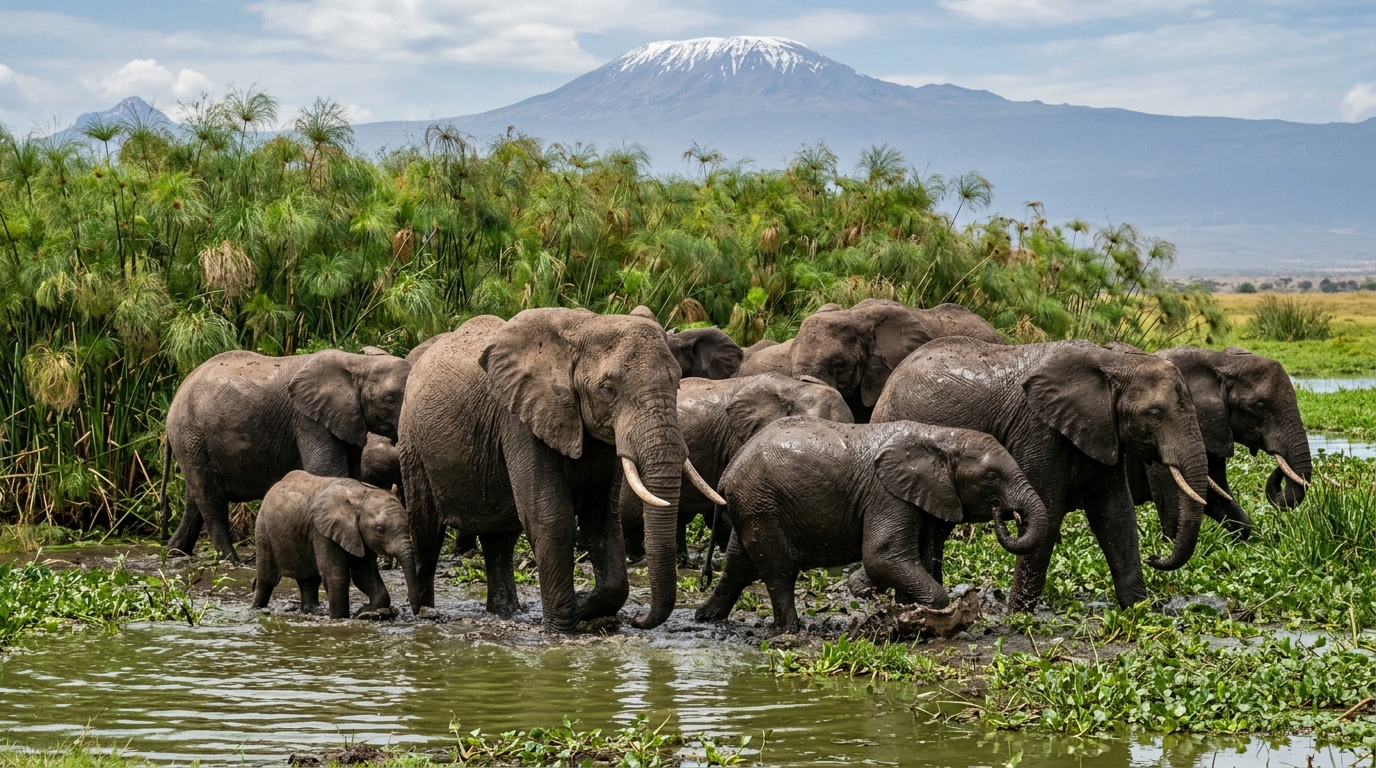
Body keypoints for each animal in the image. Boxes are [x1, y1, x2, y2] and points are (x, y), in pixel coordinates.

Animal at [160, 348, 411, 562]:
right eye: (389, 399)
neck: (358, 363)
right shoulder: (307, 419)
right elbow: (327, 472)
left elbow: (353, 476)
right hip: (191, 436)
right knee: (209, 500)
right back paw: (233, 561)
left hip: (192, 443)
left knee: (194, 501)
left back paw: (174, 553)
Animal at [252, 471, 415, 619]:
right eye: (380, 529)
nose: (415, 610)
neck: (361, 496)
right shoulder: (323, 532)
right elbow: (336, 575)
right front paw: (340, 618)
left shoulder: (359, 536)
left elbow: (364, 575)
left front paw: (362, 612)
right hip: (263, 531)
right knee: (267, 580)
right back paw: (257, 609)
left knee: (309, 581)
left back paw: (310, 610)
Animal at [399, 309, 715, 632]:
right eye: (608, 390)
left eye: (678, 383)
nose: (638, 619)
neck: (584, 328)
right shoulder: (521, 420)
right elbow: (551, 519)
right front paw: (563, 627)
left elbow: (602, 520)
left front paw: (584, 608)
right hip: (413, 442)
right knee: (426, 534)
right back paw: (424, 612)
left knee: (499, 540)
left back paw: (505, 613)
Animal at [694, 417, 1049, 633]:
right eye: (991, 477)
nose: (1007, 513)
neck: (939, 435)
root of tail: (727, 473)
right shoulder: (887, 495)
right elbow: (883, 556)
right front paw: (925, 615)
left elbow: (919, 556)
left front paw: (907, 612)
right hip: (761, 504)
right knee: (778, 570)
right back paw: (791, 631)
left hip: (752, 507)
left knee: (739, 565)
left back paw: (705, 619)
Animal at [872, 338, 1210, 612]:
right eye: (1154, 415)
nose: (1156, 557)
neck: (1112, 362)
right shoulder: (1038, 430)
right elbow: (1049, 512)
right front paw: (1018, 616)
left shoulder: (1102, 432)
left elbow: (1116, 517)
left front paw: (1139, 612)